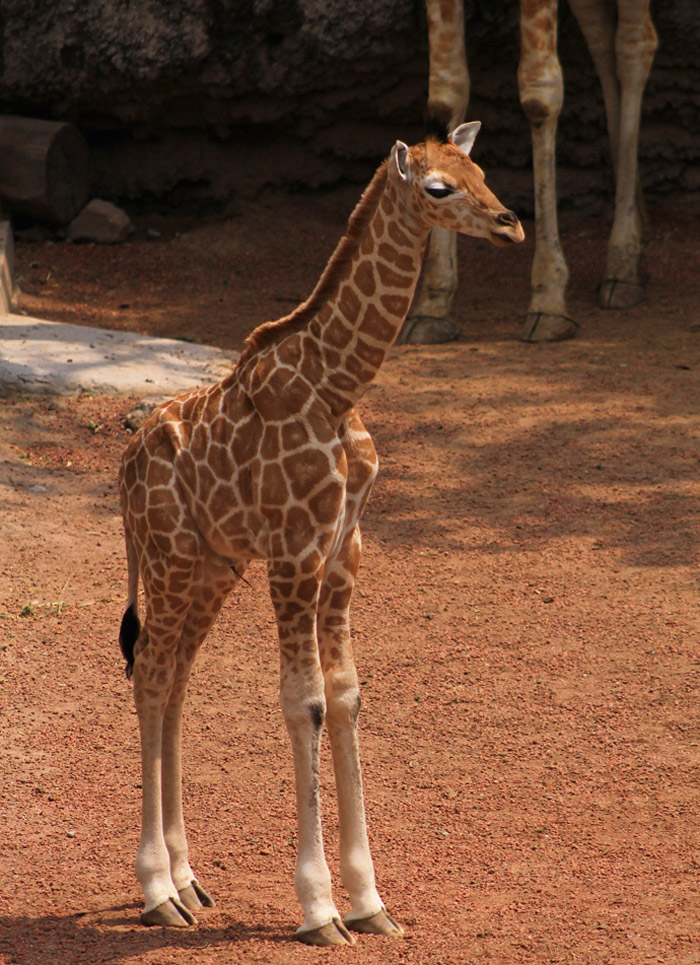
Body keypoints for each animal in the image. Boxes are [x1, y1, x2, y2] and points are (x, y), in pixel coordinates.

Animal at [120, 120, 524, 940]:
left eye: (481, 171)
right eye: (439, 187)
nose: (510, 224)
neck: (336, 388)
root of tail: (122, 467)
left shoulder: (344, 554)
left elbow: (346, 697)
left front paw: (369, 901)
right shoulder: (294, 553)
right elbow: (302, 702)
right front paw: (318, 906)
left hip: (211, 566)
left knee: (174, 678)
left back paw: (188, 879)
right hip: (169, 554)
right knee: (148, 671)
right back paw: (156, 891)